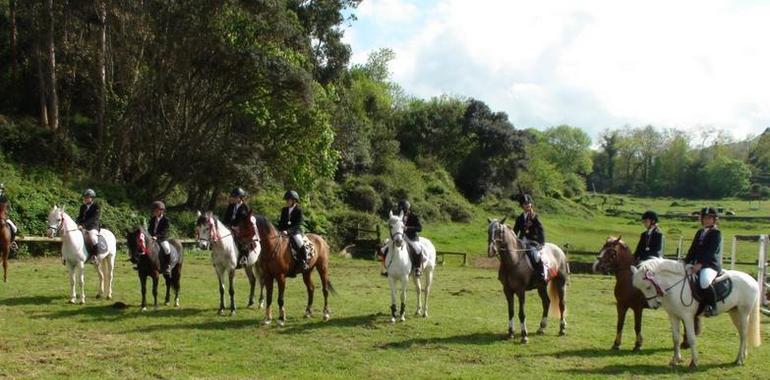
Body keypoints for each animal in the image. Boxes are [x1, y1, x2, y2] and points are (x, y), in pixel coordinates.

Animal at [628, 258, 760, 368]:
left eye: (648, 287)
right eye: (641, 289)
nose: (654, 305)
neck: (675, 287)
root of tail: (752, 280)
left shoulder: (687, 317)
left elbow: (691, 338)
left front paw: (694, 362)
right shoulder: (673, 316)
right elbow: (675, 338)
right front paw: (675, 360)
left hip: (743, 313)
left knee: (744, 334)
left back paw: (740, 360)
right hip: (734, 313)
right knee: (742, 334)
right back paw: (741, 357)